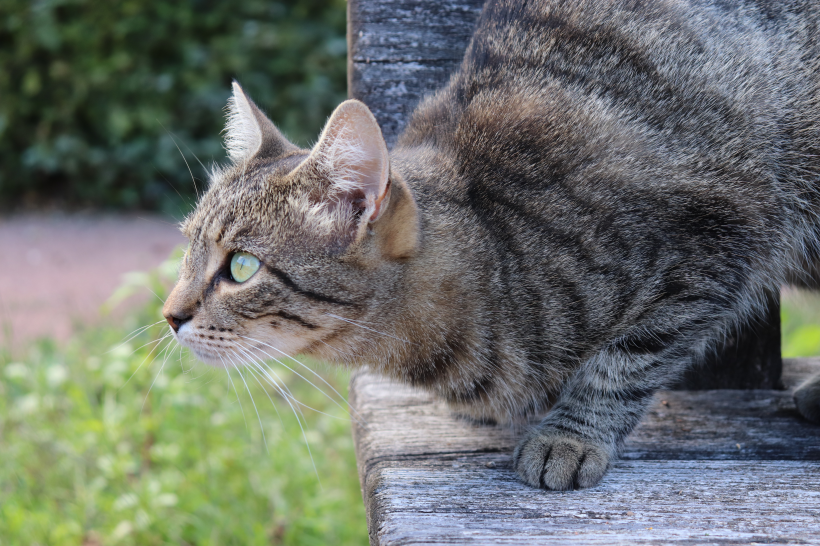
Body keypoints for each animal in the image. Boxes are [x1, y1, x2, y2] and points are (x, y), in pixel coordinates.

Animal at [163, 0, 820, 488]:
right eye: (189, 247)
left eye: (241, 267)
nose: (169, 315)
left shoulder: (714, 241)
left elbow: (624, 360)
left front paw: (568, 433)